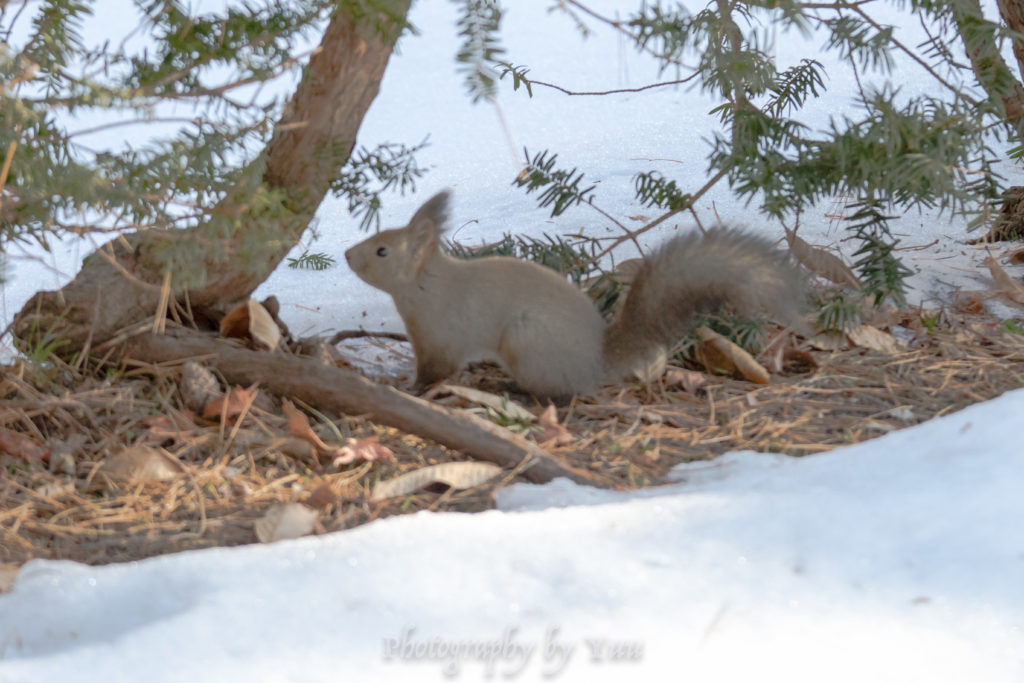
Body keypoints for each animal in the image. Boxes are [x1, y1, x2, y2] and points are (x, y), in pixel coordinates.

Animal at [346, 189, 806, 397]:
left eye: (382, 250)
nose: (348, 254)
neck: (427, 285)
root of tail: (594, 361)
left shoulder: (441, 335)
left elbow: (436, 369)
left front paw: (413, 389)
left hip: (527, 339)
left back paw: (519, 389)